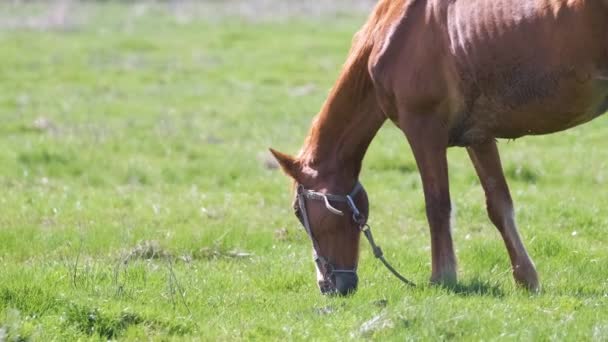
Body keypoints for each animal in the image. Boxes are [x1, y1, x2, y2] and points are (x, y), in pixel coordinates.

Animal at [270, 0, 608, 294]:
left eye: (299, 212)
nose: (328, 286)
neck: (395, 32)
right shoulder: (479, 137)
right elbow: (499, 205)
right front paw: (527, 279)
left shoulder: (423, 129)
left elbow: (437, 205)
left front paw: (442, 277)